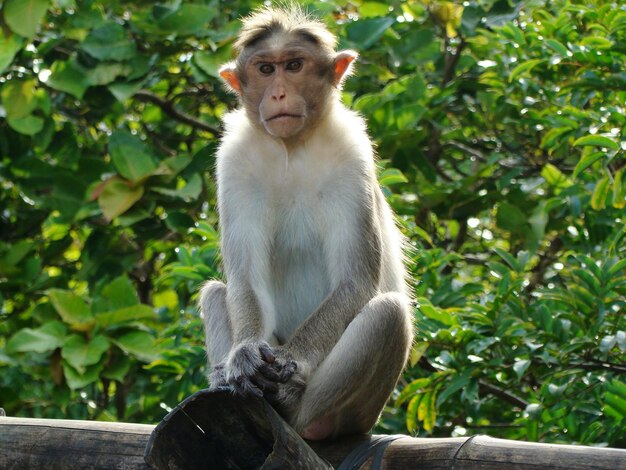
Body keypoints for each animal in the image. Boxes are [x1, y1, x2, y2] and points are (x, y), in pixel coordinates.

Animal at [200, 5, 412, 440]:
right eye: (266, 69)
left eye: (294, 65)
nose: (279, 93)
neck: (290, 150)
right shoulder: (234, 162)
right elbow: (244, 279)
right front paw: (244, 356)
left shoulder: (354, 157)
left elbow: (355, 280)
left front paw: (289, 361)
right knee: (216, 292)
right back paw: (224, 380)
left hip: (357, 414)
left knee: (388, 314)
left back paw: (293, 406)